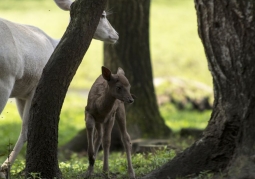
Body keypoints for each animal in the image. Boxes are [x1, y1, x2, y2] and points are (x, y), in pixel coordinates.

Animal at [0, 0, 119, 177]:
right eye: (103, 15)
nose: (116, 35)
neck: (52, 43)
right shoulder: (35, 86)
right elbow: (27, 128)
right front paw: (5, 168)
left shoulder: (21, 93)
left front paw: (7, 167)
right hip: (5, 78)